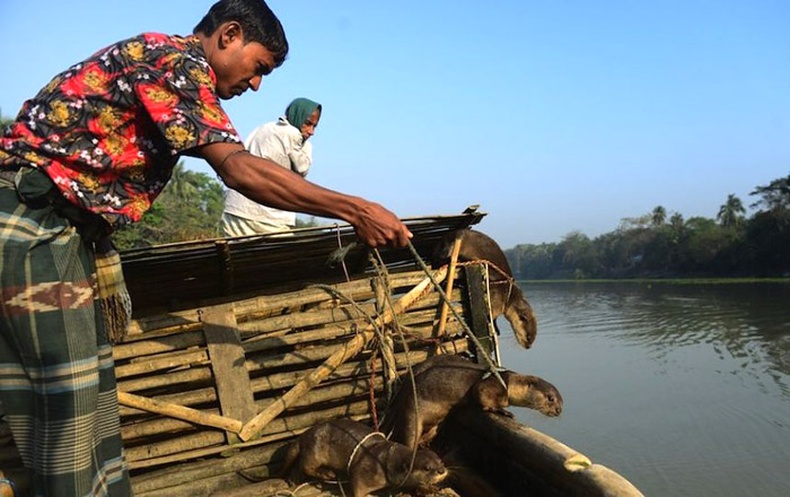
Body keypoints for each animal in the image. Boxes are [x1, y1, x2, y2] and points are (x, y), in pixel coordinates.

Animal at [282, 416, 448, 494]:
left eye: (441, 461)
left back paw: (294, 480)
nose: (441, 471)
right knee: (306, 465)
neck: (387, 462)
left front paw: (431, 489)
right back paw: (327, 473)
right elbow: (357, 483)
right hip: (315, 448)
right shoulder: (367, 468)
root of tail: (304, 435)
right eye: (427, 468)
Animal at [382, 352, 564, 450]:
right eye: (551, 398)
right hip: (412, 412)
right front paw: (503, 411)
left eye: (562, 402)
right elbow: (482, 397)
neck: (508, 383)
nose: (558, 411)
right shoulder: (489, 386)